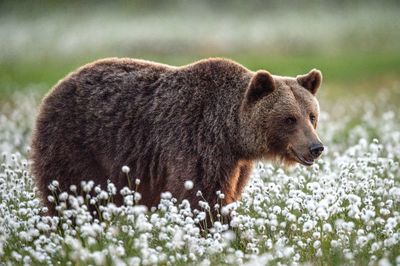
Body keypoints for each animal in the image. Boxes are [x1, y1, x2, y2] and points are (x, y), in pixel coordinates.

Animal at [32, 57, 324, 216]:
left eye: (311, 116)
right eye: (289, 119)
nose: (316, 147)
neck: (232, 135)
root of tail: (54, 89)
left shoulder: (236, 164)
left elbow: (226, 195)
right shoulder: (198, 142)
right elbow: (203, 195)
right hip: (76, 142)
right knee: (74, 192)